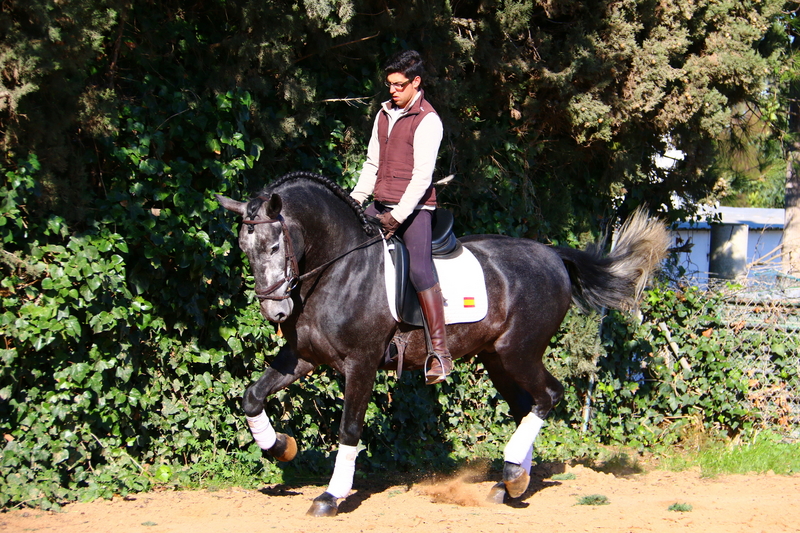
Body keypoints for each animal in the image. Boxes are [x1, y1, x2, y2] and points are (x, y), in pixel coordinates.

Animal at [216, 171, 669, 517]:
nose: (275, 311)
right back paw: (512, 482)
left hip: (519, 352)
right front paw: (281, 447)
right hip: (497, 360)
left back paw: (512, 474)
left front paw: (331, 495)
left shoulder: (360, 363)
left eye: (275, 245)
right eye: (244, 248)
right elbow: (252, 397)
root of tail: (553, 255)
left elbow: (349, 428)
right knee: (526, 406)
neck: (339, 268)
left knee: (549, 396)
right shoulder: (302, 357)